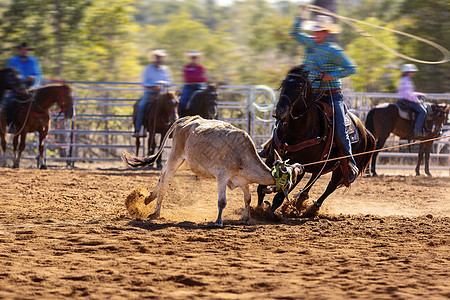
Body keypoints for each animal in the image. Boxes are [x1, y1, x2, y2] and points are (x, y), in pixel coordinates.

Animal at [256, 66, 376, 213]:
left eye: (298, 87)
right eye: (283, 84)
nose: (280, 111)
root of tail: (364, 131)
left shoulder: (300, 166)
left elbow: (279, 197)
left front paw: (268, 214)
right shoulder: (271, 157)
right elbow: (261, 187)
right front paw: (259, 208)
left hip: (341, 168)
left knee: (332, 185)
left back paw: (313, 207)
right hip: (323, 163)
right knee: (316, 176)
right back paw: (301, 198)